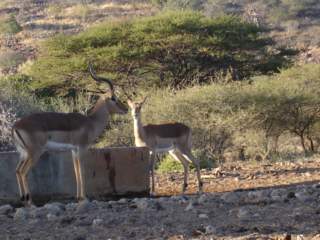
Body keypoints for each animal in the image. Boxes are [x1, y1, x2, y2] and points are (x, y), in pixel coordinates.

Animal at [12, 64, 127, 205]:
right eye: (113, 98)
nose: (126, 109)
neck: (91, 122)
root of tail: (16, 126)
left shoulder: (73, 151)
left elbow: (76, 172)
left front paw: (79, 197)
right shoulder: (82, 148)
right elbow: (82, 172)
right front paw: (85, 198)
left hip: (24, 153)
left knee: (17, 171)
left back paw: (24, 199)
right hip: (35, 153)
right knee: (23, 172)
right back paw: (30, 201)